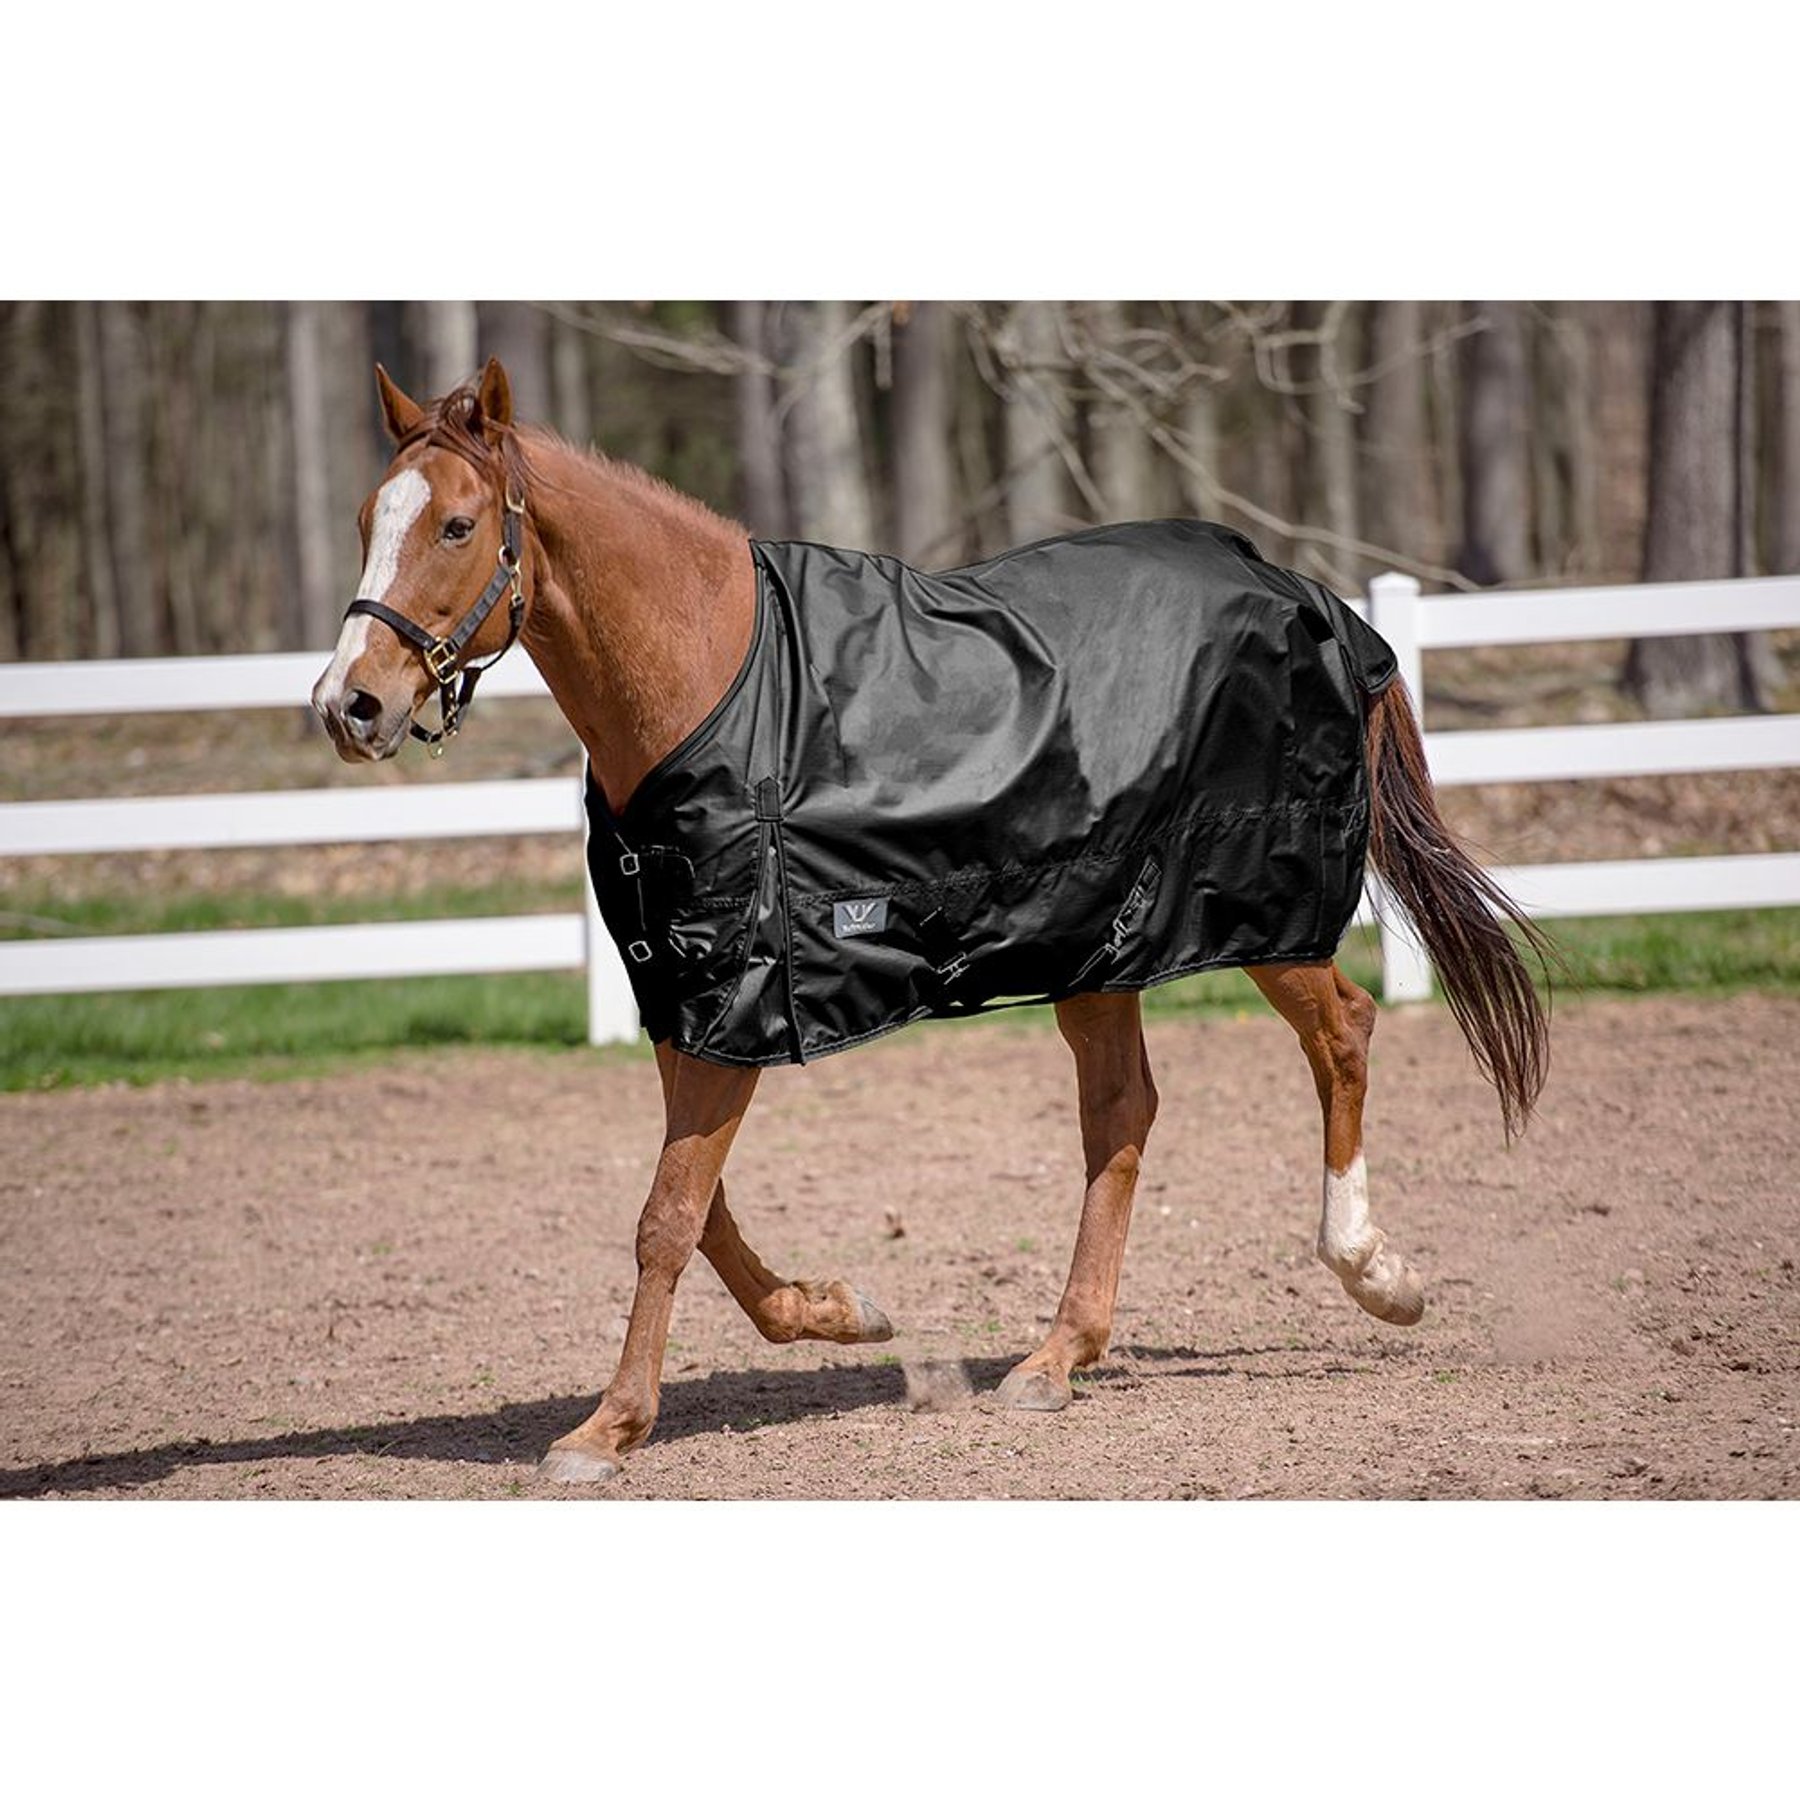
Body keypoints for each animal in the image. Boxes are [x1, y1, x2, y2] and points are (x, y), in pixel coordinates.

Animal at [312, 357, 1549, 1485]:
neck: (715, 682)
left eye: (458, 524)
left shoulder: (741, 1007)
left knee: (1341, 1031)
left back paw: (1375, 1276)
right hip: (1100, 942)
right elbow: (699, 1208)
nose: (347, 704)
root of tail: (1313, 599)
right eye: (369, 519)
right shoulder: (691, 1003)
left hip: (1255, 913)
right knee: (1124, 1112)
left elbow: (666, 1216)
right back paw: (1056, 1359)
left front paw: (605, 1432)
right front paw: (836, 1310)